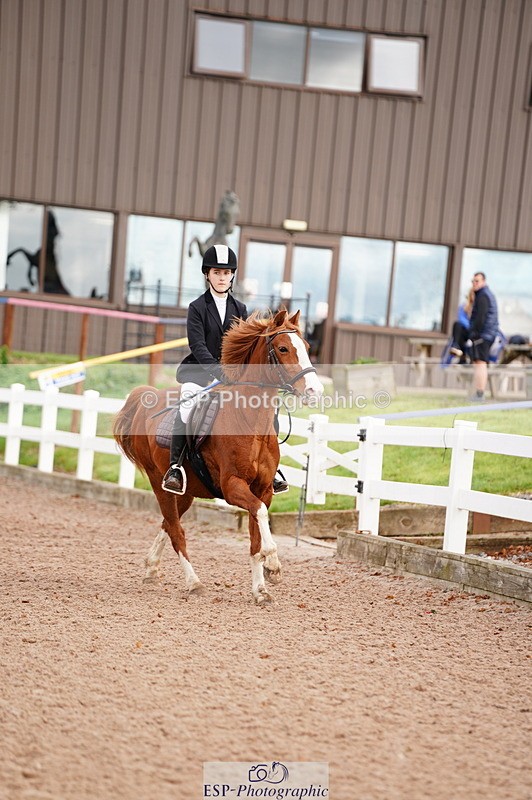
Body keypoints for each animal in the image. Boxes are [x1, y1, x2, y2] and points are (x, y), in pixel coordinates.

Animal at [113, 308, 324, 604]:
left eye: (305, 347)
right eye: (283, 348)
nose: (315, 392)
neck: (250, 423)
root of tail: (148, 399)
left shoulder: (262, 489)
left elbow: (255, 537)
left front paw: (261, 590)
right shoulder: (233, 486)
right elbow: (260, 517)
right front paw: (273, 563)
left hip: (186, 493)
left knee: (168, 523)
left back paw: (152, 568)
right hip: (159, 484)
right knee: (176, 530)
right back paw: (194, 583)